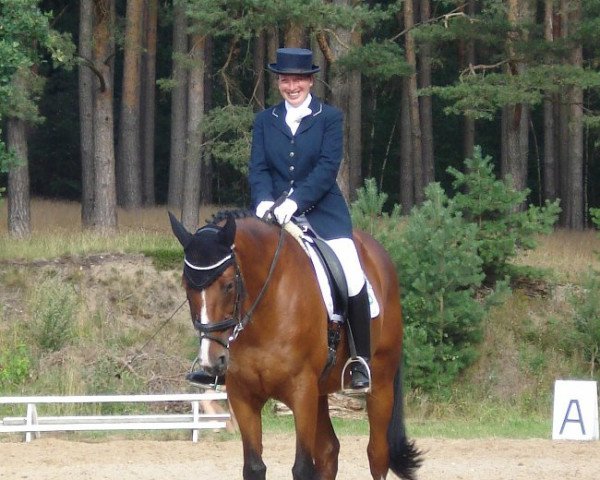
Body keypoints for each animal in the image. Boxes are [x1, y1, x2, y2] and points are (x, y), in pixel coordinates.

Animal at [169, 211, 422, 480]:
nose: (211, 360)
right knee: (329, 451)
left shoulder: (301, 393)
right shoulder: (242, 396)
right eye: (187, 287)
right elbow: (254, 467)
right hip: (320, 391)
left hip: (380, 384)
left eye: (228, 285)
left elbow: (302, 468)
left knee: (377, 454)